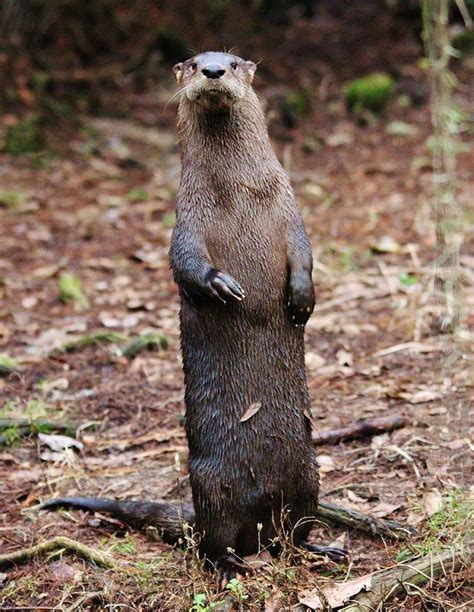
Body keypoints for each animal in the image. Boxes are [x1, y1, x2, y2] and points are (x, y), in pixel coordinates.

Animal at [42, 51, 344, 580]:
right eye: (192, 62)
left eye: (234, 61)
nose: (214, 71)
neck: (240, 196)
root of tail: (257, 523)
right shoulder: (187, 219)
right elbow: (184, 262)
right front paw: (222, 286)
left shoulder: (291, 211)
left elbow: (305, 254)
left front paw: (303, 299)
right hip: (209, 483)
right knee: (213, 539)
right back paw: (229, 563)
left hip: (309, 475)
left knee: (294, 533)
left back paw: (321, 549)